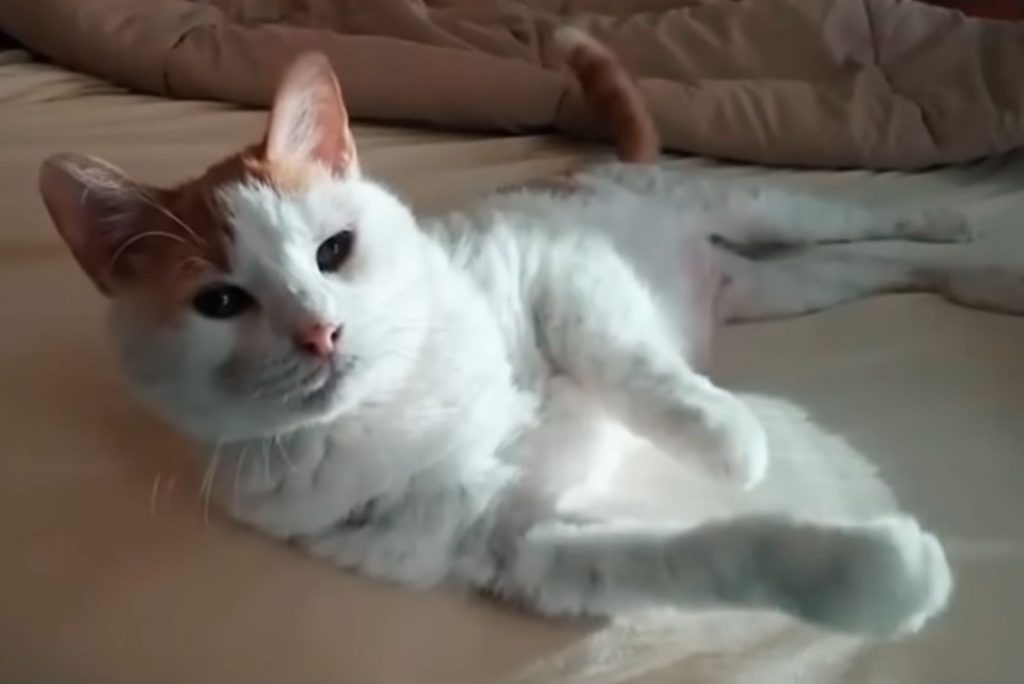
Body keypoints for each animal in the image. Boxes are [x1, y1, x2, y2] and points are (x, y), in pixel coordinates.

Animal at [44, 26, 1011, 634]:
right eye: (220, 303)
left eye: (334, 250)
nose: (321, 333)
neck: (399, 405)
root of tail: (610, 165)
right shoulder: (528, 546)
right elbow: (707, 553)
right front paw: (879, 580)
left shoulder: (558, 269)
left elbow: (633, 367)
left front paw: (730, 440)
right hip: (786, 285)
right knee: (884, 262)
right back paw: (994, 280)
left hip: (758, 211)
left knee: (879, 219)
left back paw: (968, 223)